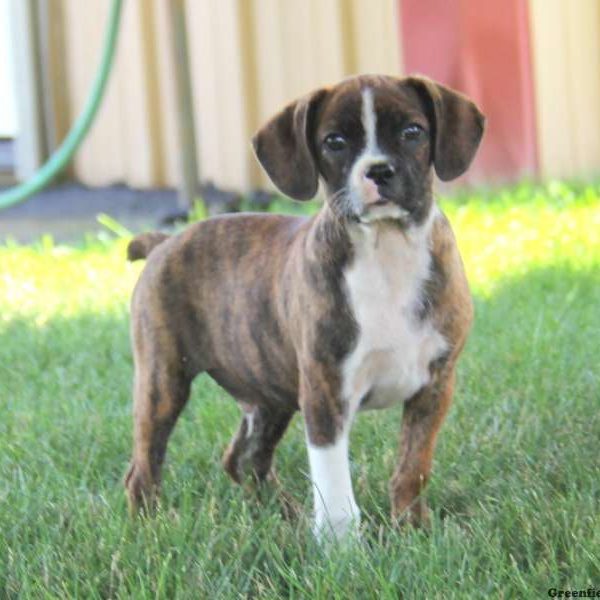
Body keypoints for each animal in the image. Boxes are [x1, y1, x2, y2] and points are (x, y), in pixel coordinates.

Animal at [124, 74, 486, 540]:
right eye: (334, 142)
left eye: (413, 132)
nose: (379, 170)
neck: (387, 251)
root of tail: (164, 242)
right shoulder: (325, 391)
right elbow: (333, 484)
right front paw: (340, 546)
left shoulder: (435, 386)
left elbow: (413, 466)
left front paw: (411, 528)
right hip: (164, 382)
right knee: (145, 465)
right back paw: (149, 526)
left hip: (269, 396)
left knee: (244, 458)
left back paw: (284, 514)